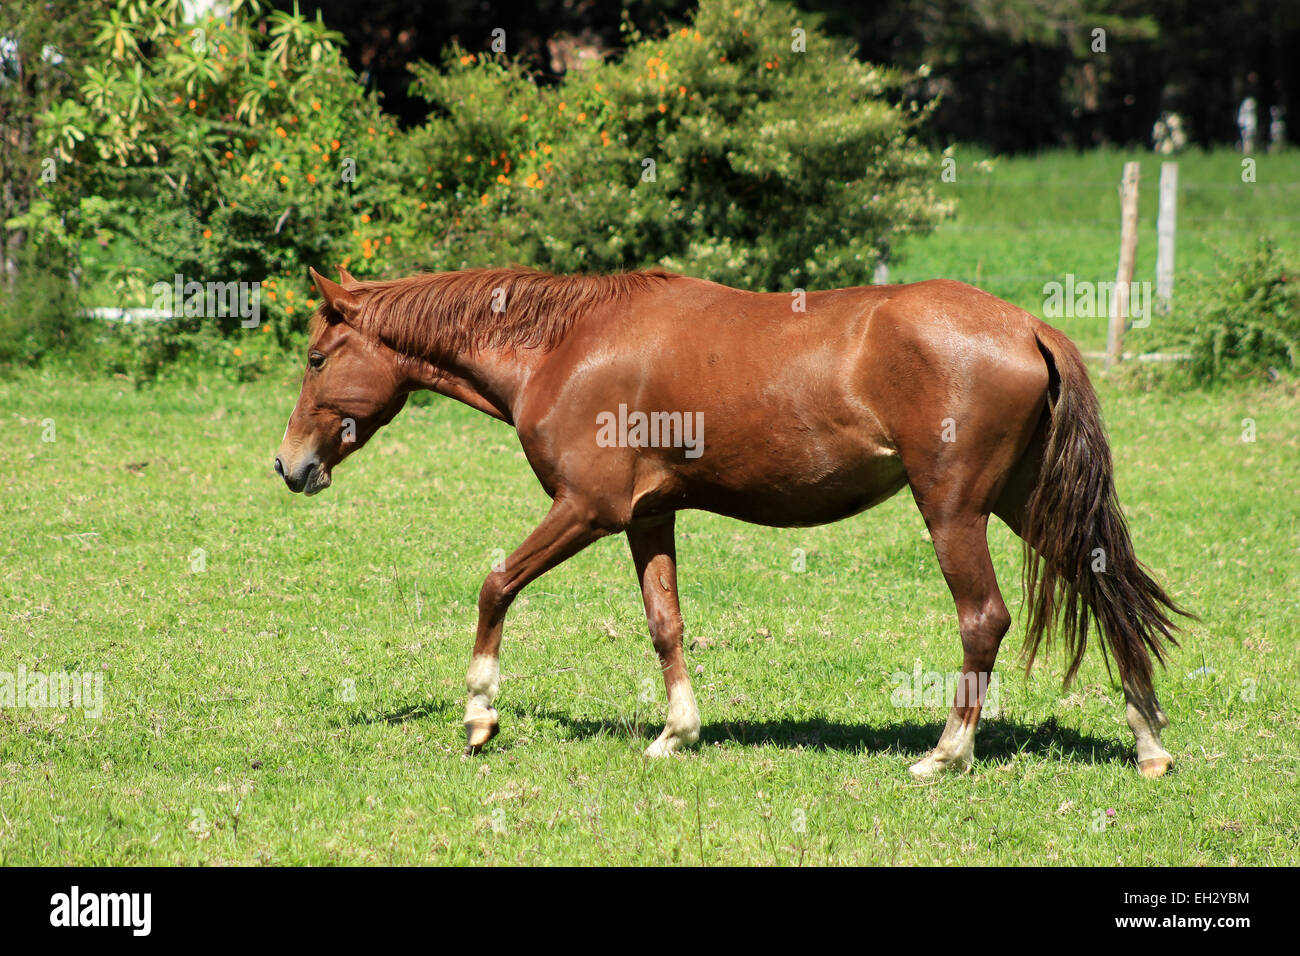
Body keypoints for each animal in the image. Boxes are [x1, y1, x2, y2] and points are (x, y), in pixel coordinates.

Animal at [274, 265, 1190, 775]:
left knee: (984, 619)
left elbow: (495, 585)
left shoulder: (586, 511)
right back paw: (1147, 742)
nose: (289, 466)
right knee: (1107, 594)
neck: (566, 346)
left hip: (955, 510)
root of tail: (1028, 325)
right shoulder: (646, 519)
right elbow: (666, 624)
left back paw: (946, 753)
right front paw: (677, 734)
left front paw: (479, 715)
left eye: (317, 359)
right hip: (1028, 504)